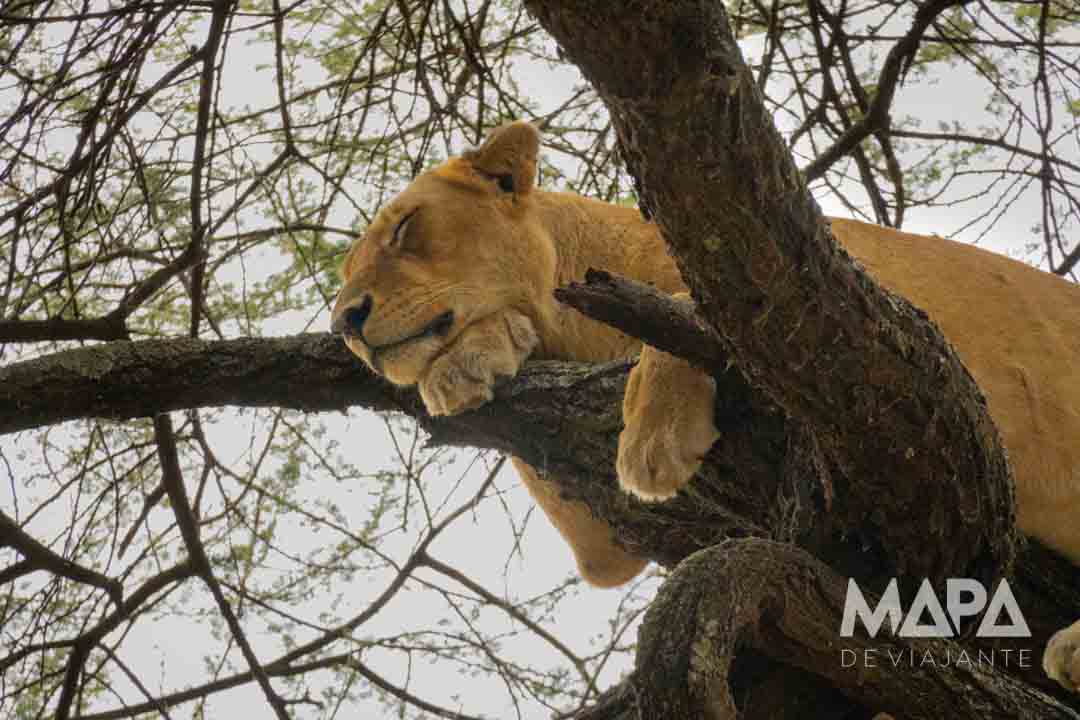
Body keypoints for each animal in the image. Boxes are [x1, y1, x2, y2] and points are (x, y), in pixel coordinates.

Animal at [331, 121, 1080, 692]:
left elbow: (683, 305)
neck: (579, 321)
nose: (344, 321)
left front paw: (655, 441)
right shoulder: (602, 549)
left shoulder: (903, 340)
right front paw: (467, 361)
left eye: (403, 229)